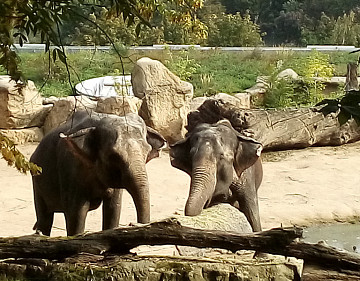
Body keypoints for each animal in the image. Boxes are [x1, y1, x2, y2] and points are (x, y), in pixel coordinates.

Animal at [30, 110, 165, 235]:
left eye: (147, 151)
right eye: (114, 156)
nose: (132, 223)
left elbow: (113, 209)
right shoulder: (71, 168)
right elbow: (77, 214)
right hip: (37, 180)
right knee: (45, 218)